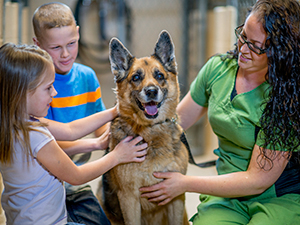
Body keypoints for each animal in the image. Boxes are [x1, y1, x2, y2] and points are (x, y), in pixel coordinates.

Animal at [97, 30, 189, 225]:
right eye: (136, 77)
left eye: (159, 76)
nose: (151, 91)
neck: (151, 131)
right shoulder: (129, 199)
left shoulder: (176, 195)